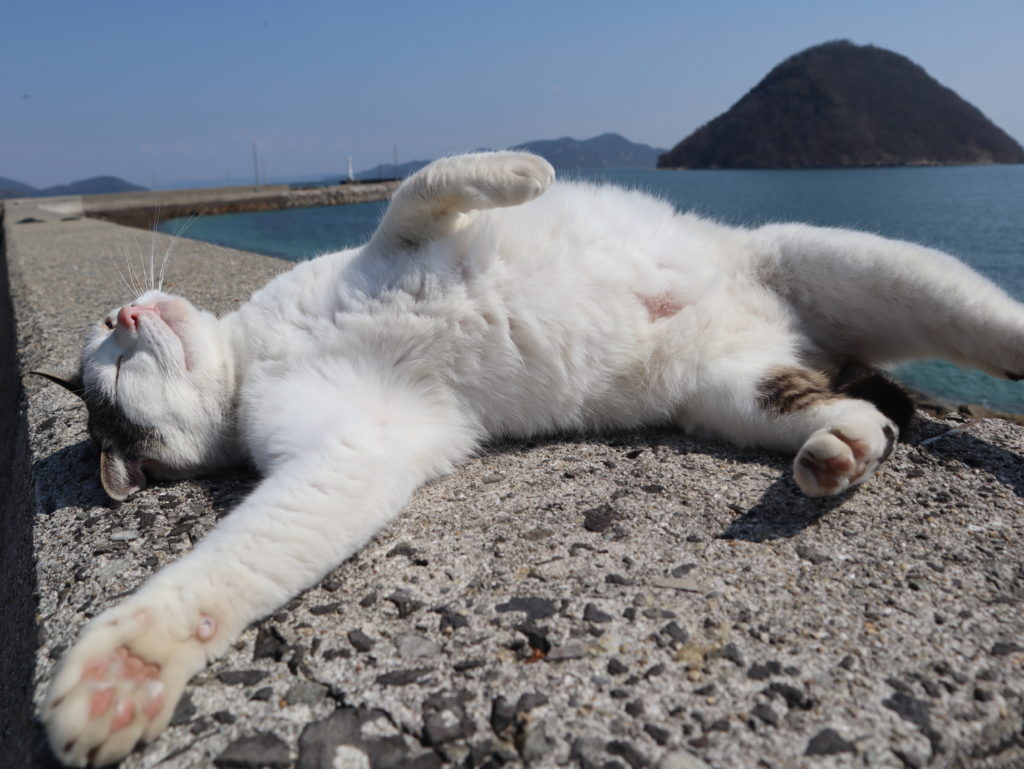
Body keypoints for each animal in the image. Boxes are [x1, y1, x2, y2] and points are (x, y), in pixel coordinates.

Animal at [39, 150, 1024, 765]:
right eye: (112, 371)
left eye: (108, 345)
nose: (127, 312)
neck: (256, 356)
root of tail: (798, 338)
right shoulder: (357, 445)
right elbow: (231, 565)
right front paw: (132, 667)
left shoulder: (392, 240)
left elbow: (422, 184)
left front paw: (525, 171)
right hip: (736, 392)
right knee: (851, 409)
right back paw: (840, 450)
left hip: (873, 269)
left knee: (988, 327)